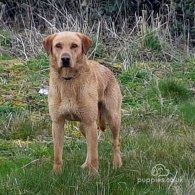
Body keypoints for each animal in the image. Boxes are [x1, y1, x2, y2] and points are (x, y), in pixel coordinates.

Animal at [43, 31, 122, 174]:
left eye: (74, 45)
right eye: (58, 45)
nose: (65, 59)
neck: (68, 80)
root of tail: (108, 69)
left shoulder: (90, 123)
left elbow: (95, 155)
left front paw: (94, 175)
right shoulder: (57, 123)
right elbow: (57, 154)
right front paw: (56, 173)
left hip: (112, 118)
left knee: (115, 142)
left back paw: (117, 163)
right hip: (82, 126)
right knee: (89, 145)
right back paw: (86, 164)